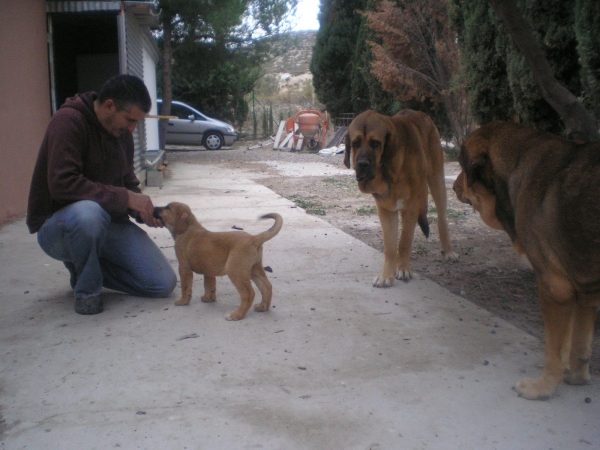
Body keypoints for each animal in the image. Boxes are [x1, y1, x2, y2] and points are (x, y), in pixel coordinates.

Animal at [342, 109, 460, 286]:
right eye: (356, 143)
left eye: (375, 143)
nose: (362, 164)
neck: (388, 170)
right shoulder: (386, 210)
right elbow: (390, 246)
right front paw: (387, 274)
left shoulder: (411, 206)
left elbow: (404, 241)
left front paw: (403, 269)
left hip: (436, 180)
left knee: (441, 217)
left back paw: (448, 251)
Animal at [454, 120, 600, 400]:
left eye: (462, 167)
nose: (454, 187)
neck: (516, 166)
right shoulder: (585, 291)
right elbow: (580, 346)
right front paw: (578, 378)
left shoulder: (556, 289)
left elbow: (555, 351)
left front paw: (542, 387)